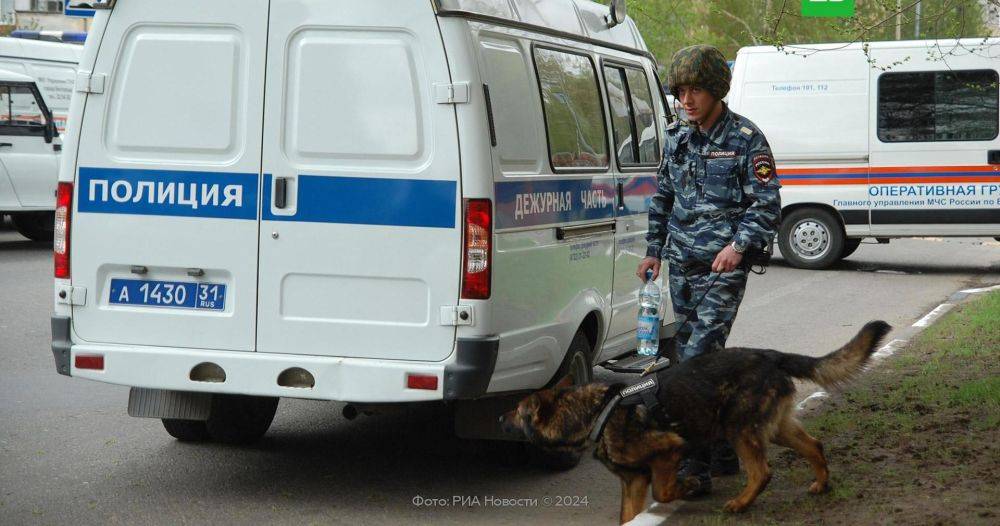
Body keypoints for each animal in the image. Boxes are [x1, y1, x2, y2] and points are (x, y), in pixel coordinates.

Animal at [500, 322, 892, 524]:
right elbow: (627, 517)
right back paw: (821, 484)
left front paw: (688, 484)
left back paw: (741, 503)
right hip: (776, 428)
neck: (597, 410)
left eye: (516, 410)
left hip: (738, 429)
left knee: (762, 471)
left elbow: (665, 491)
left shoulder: (669, 452)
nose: (499, 417)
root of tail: (770, 354)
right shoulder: (633, 482)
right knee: (814, 445)